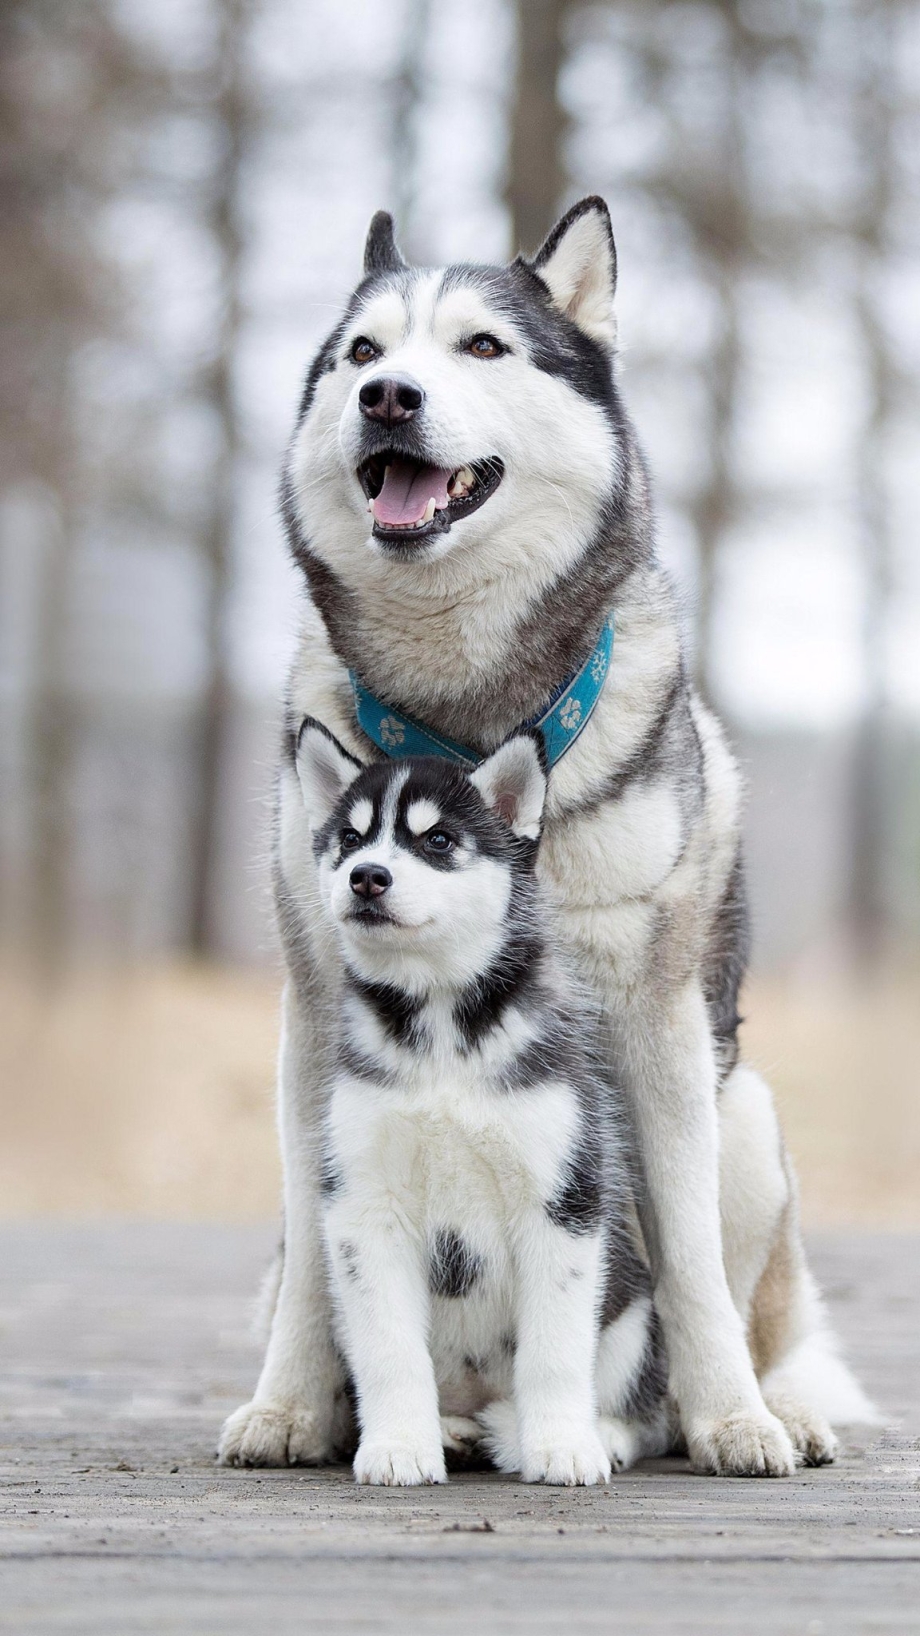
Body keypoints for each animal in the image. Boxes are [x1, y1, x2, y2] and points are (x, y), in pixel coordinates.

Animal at [293, 723, 664, 1492]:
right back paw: (452, 1430)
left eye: (438, 841)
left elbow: (555, 1350)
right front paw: (399, 1446)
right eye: (350, 837)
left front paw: (561, 1447)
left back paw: (600, 1433)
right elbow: (390, 1349)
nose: (366, 876)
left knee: (640, 1408)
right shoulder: (363, 1208)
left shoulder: (563, 1202)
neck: (440, 1028)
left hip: (634, 1309)